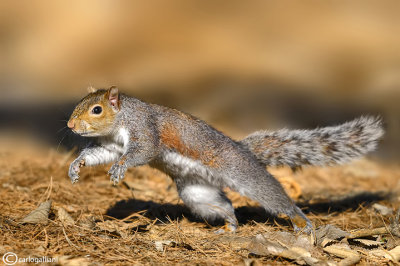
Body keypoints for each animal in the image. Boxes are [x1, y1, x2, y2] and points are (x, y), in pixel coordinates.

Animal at [65, 85, 384, 233]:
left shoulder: (145, 129)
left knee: (278, 199)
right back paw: (229, 227)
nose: (70, 125)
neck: (121, 120)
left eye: (96, 110)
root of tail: (245, 152)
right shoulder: (111, 145)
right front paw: (76, 166)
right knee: (226, 207)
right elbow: (100, 154)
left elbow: (141, 152)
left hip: (247, 178)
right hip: (197, 193)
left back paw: (301, 223)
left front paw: (120, 168)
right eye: (79, 104)